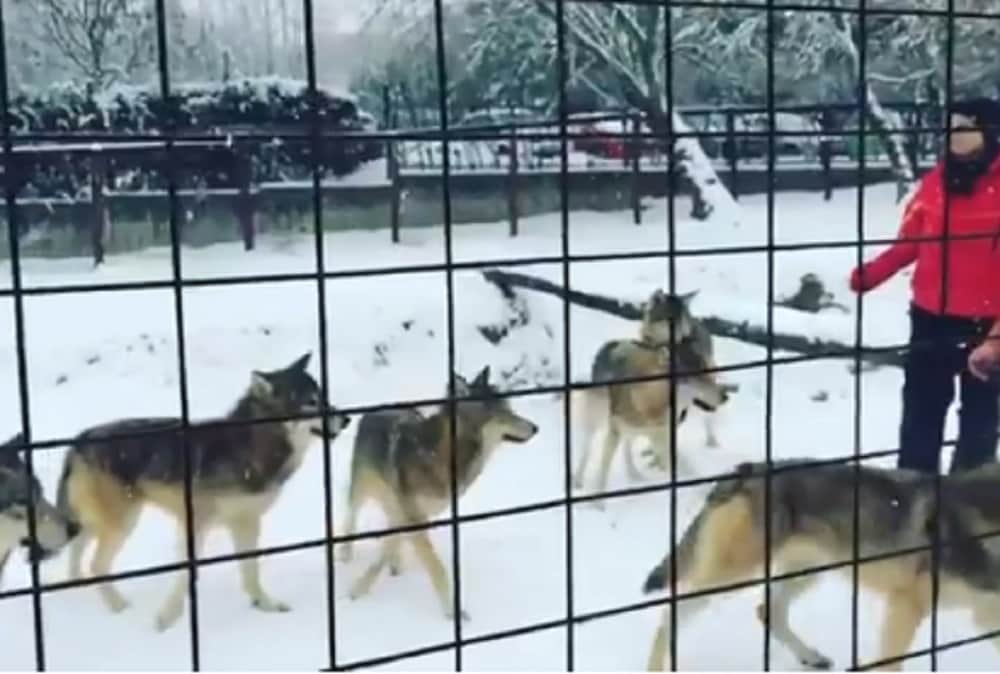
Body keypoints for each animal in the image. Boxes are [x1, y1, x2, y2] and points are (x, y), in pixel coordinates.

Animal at [55, 352, 351, 632]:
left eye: (323, 396)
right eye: (310, 403)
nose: (347, 419)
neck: (251, 447)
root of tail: (77, 440)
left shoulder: (247, 522)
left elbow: (251, 570)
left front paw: (264, 604)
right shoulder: (196, 524)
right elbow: (186, 575)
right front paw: (166, 620)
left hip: (104, 521)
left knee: (78, 549)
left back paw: (78, 587)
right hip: (122, 523)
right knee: (97, 565)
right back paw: (119, 607)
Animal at [338, 365, 538, 619]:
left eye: (511, 409)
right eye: (503, 413)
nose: (535, 428)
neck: (443, 456)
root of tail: (379, 408)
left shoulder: (417, 515)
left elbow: (388, 549)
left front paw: (364, 584)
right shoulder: (413, 514)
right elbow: (436, 567)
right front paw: (453, 612)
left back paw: (396, 562)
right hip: (363, 488)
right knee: (351, 515)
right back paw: (345, 552)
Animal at [571, 289, 730, 504]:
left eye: (706, 375)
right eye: (694, 379)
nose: (725, 395)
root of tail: (612, 343)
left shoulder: (662, 433)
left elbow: (683, 466)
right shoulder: (619, 430)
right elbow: (603, 471)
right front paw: (597, 505)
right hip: (596, 420)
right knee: (588, 448)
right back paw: (579, 479)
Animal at [642, 459, 1000, 671]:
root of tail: (747, 469)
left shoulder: (986, 615)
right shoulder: (908, 605)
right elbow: (890, 663)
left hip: (808, 571)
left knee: (768, 611)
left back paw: (810, 657)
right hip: (732, 577)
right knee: (669, 615)